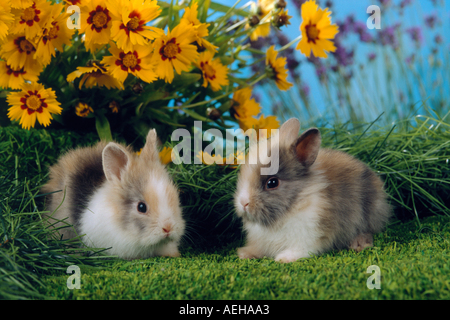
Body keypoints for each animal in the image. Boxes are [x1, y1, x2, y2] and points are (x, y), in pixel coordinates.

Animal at [234, 117, 392, 262]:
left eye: (272, 183)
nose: (243, 203)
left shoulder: (310, 235)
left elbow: (303, 249)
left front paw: (284, 258)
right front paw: (245, 253)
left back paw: (358, 243)